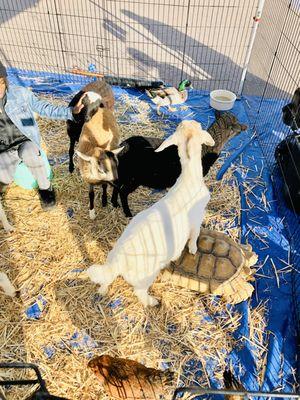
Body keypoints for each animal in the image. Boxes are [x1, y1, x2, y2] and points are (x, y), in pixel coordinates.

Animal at [86, 119, 216, 306]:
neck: (189, 177)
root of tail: (118, 261)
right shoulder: (197, 219)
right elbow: (194, 236)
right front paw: (192, 249)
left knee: (106, 279)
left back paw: (103, 291)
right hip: (146, 276)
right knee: (139, 291)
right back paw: (153, 302)